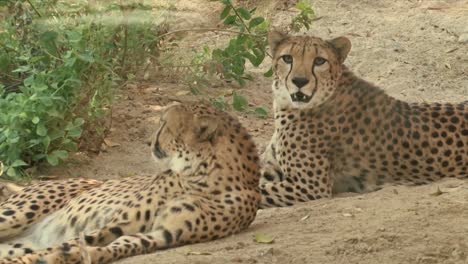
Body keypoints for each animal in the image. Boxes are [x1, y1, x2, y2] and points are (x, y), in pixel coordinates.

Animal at [0, 102, 260, 262]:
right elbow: (70, 243)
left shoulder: (164, 234)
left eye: (164, 125)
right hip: (19, 213)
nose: (147, 142)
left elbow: (117, 246)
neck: (202, 176)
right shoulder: (115, 224)